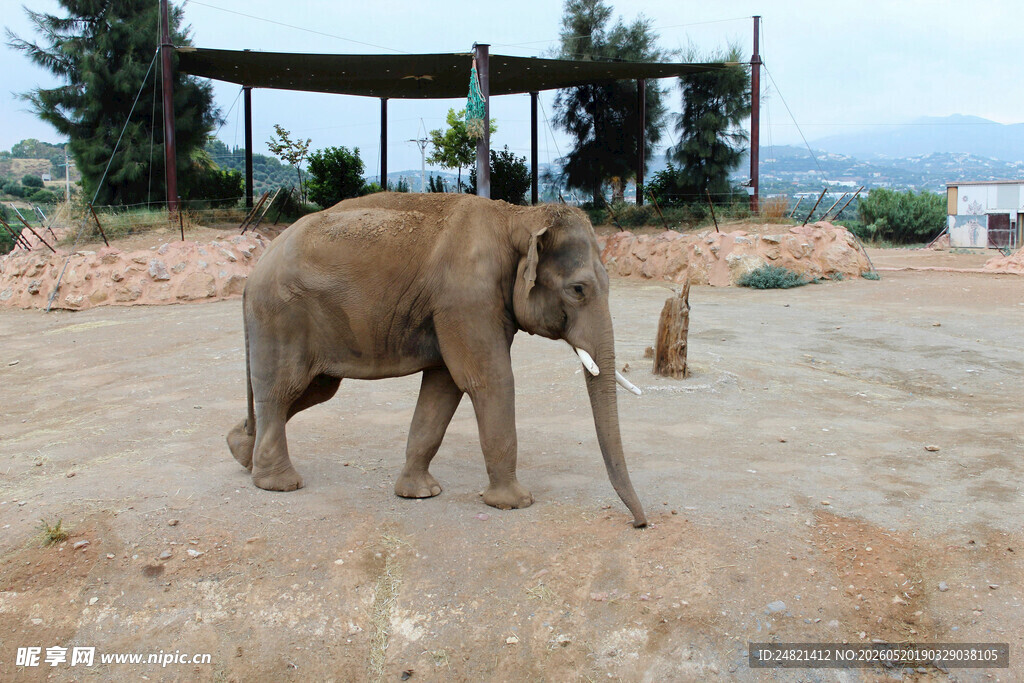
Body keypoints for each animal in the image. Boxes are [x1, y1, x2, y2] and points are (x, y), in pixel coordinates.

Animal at [227, 193, 647, 527]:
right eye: (578, 289)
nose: (640, 524)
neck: (517, 216)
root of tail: (254, 271)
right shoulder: (466, 298)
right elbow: (488, 380)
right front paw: (516, 503)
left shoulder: (456, 308)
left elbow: (443, 388)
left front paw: (419, 493)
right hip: (281, 317)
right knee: (283, 391)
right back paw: (279, 483)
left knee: (311, 390)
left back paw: (240, 452)